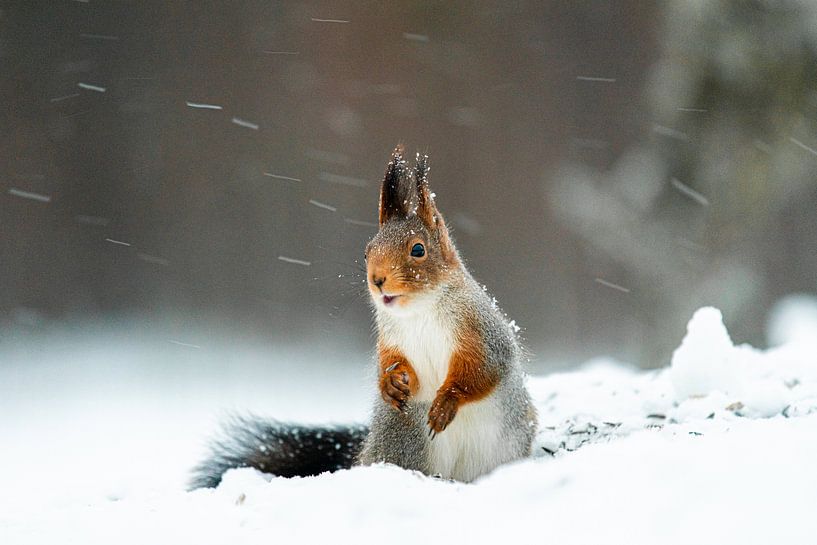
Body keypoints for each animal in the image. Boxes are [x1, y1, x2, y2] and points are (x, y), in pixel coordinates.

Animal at [190, 146, 537, 489]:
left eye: (418, 250)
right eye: (367, 251)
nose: (377, 279)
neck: (420, 310)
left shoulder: (481, 333)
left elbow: (482, 370)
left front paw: (446, 402)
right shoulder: (391, 338)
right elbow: (389, 361)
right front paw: (390, 383)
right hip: (402, 436)